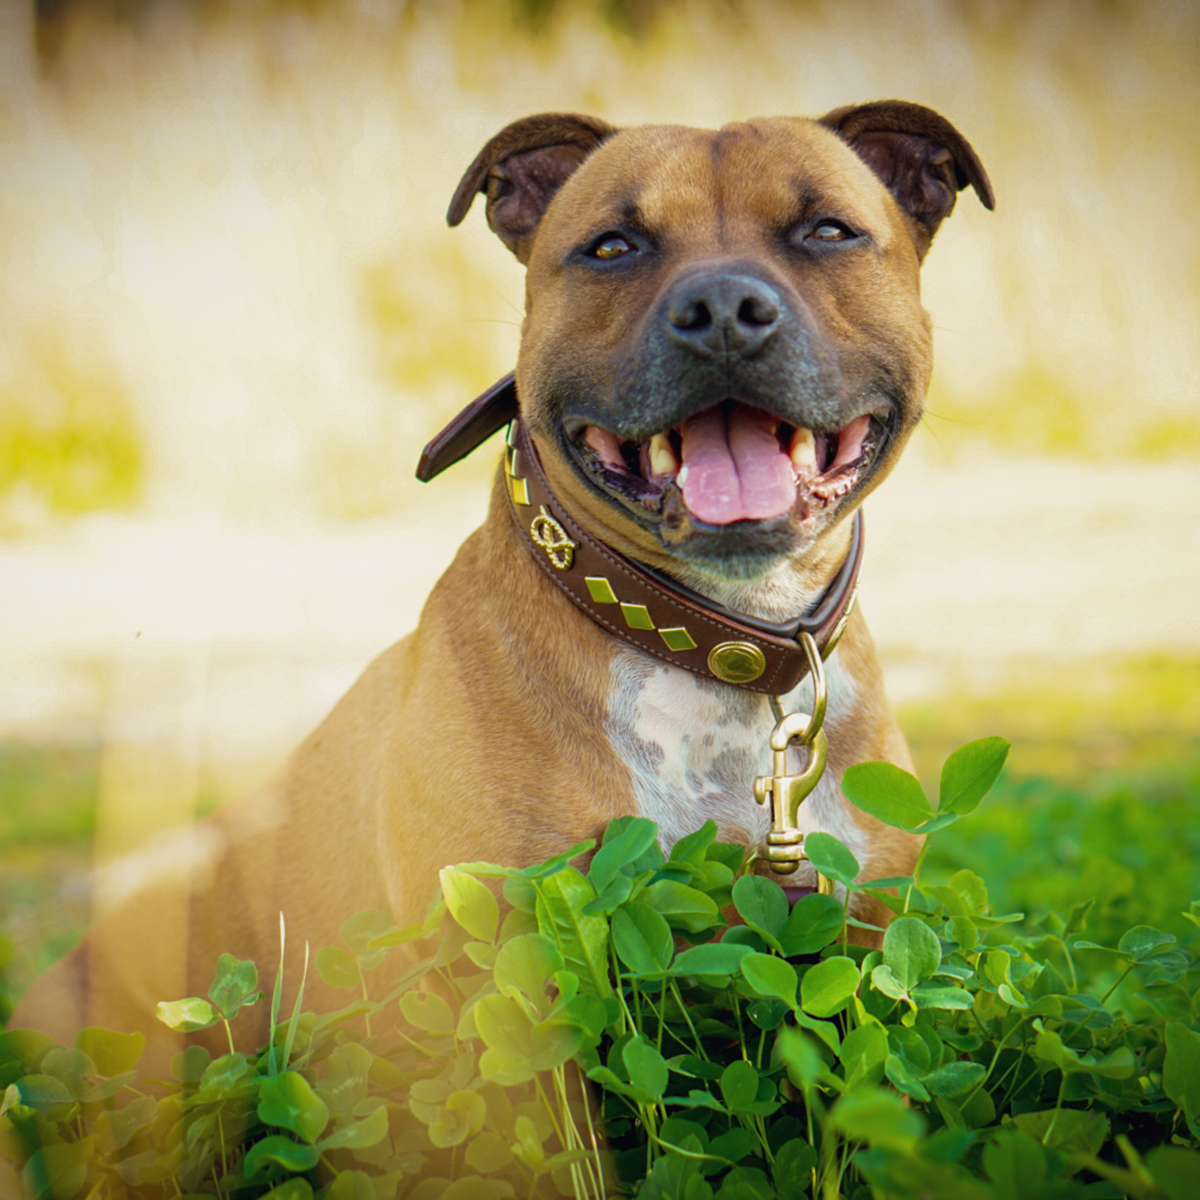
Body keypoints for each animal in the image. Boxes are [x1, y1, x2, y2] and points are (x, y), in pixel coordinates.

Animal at [11, 98, 993, 1065]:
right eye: (612, 246)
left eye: (828, 230)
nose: (721, 306)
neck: (713, 643)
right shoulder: (497, 976)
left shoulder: (858, 938)